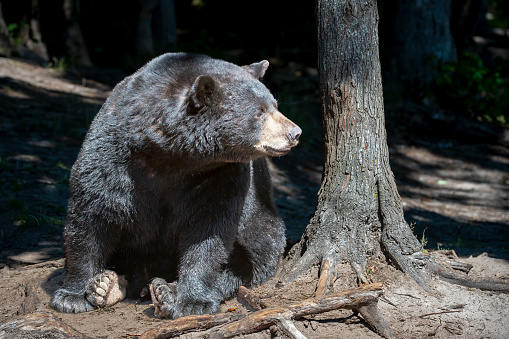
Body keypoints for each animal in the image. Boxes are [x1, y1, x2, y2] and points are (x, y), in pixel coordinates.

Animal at [49, 52, 300, 318]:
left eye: (274, 105)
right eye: (259, 112)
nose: (295, 133)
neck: (172, 156)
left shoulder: (219, 174)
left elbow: (209, 231)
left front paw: (193, 301)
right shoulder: (114, 154)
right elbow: (91, 213)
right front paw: (72, 296)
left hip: (262, 215)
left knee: (253, 253)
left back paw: (166, 292)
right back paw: (106, 286)